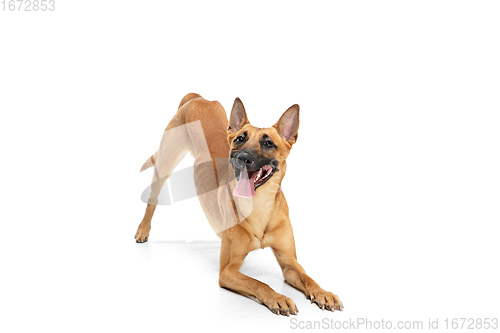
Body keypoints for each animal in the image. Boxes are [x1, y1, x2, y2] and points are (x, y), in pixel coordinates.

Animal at [135, 92, 342, 314]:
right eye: (240, 139)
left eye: (268, 143)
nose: (243, 158)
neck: (259, 205)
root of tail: (198, 98)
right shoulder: (228, 271)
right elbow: (259, 283)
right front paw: (278, 297)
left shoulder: (289, 263)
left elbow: (308, 278)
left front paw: (323, 293)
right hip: (165, 162)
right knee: (152, 199)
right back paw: (143, 230)